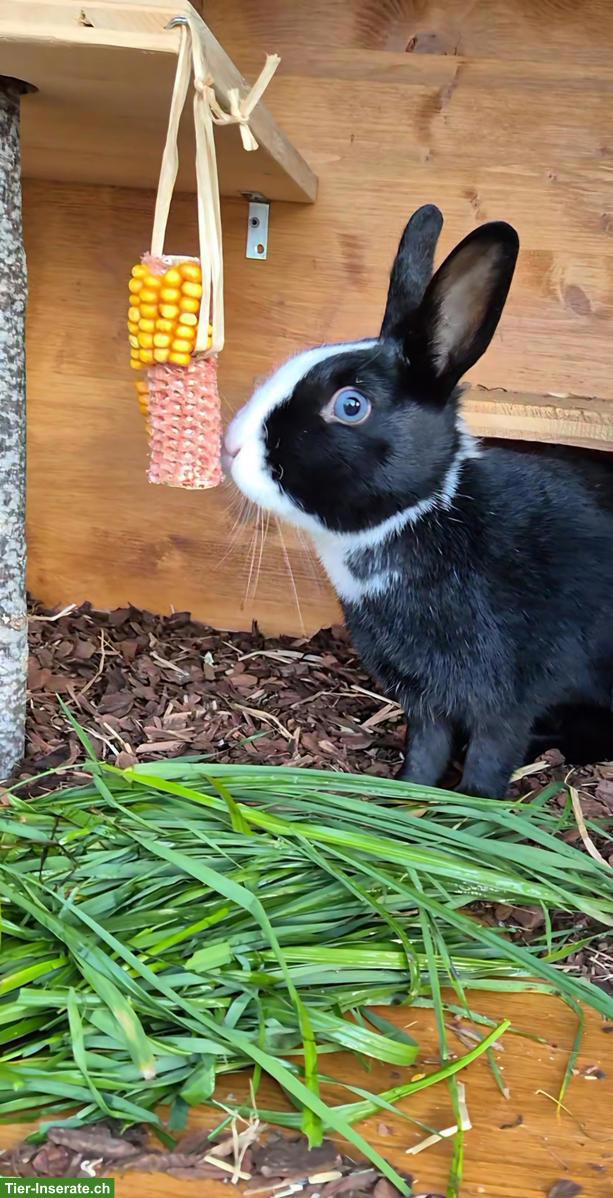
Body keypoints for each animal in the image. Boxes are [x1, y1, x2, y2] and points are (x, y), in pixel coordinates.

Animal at [224, 205, 613, 797]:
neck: (419, 515)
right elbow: (427, 745)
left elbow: (491, 756)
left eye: (351, 405)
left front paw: (469, 807)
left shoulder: (504, 694)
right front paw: (409, 793)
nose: (230, 447)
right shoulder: (426, 698)